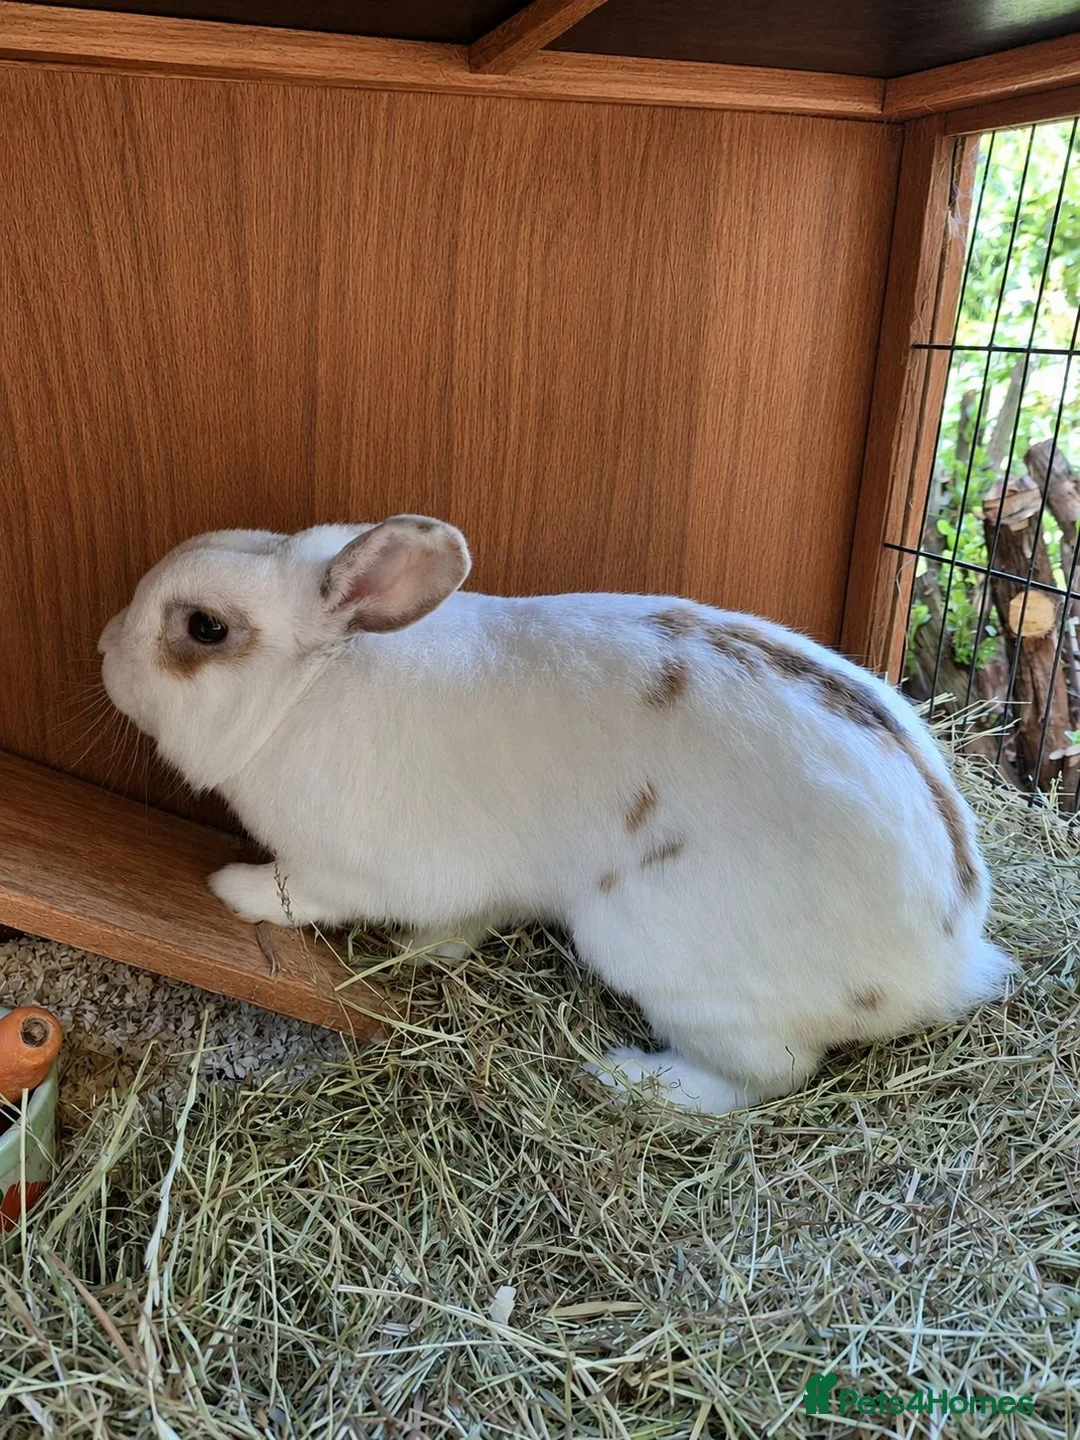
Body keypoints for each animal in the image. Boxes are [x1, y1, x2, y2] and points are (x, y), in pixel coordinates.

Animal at [98, 514, 1013, 1114]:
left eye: (204, 628)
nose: (102, 647)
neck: (311, 687)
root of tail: (946, 960)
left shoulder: (343, 869)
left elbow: (297, 895)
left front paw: (232, 887)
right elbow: (459, 929)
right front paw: (427, 955)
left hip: (676, 967)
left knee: (767, 1075)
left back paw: (627, 1074)